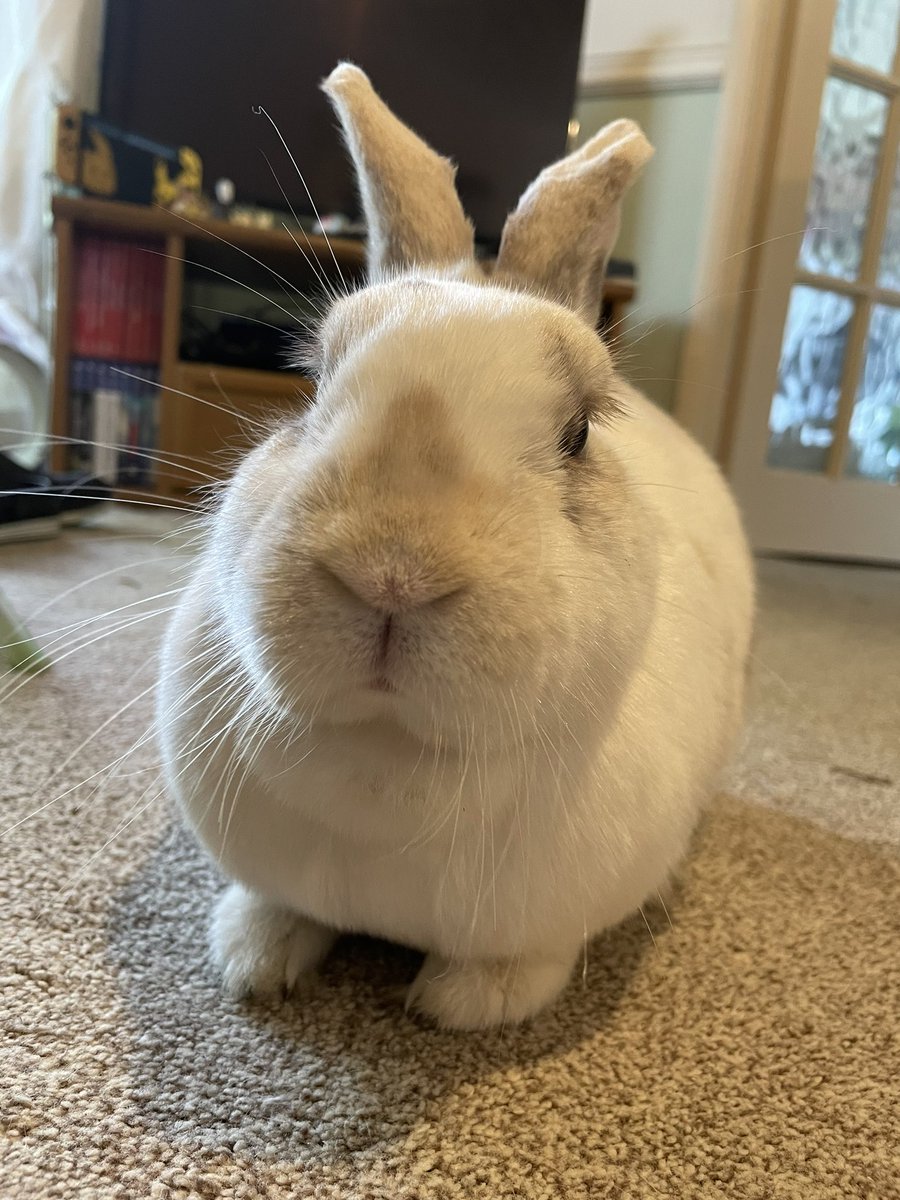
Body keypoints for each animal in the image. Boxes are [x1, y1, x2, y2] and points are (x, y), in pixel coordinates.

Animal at [157, 63, 755, 1031]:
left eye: (579, 434)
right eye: (312, 385)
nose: (392, 575)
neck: (391, 763)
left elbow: (520, 966)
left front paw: (460, 1005)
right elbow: (279, 905)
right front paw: (255, 959)